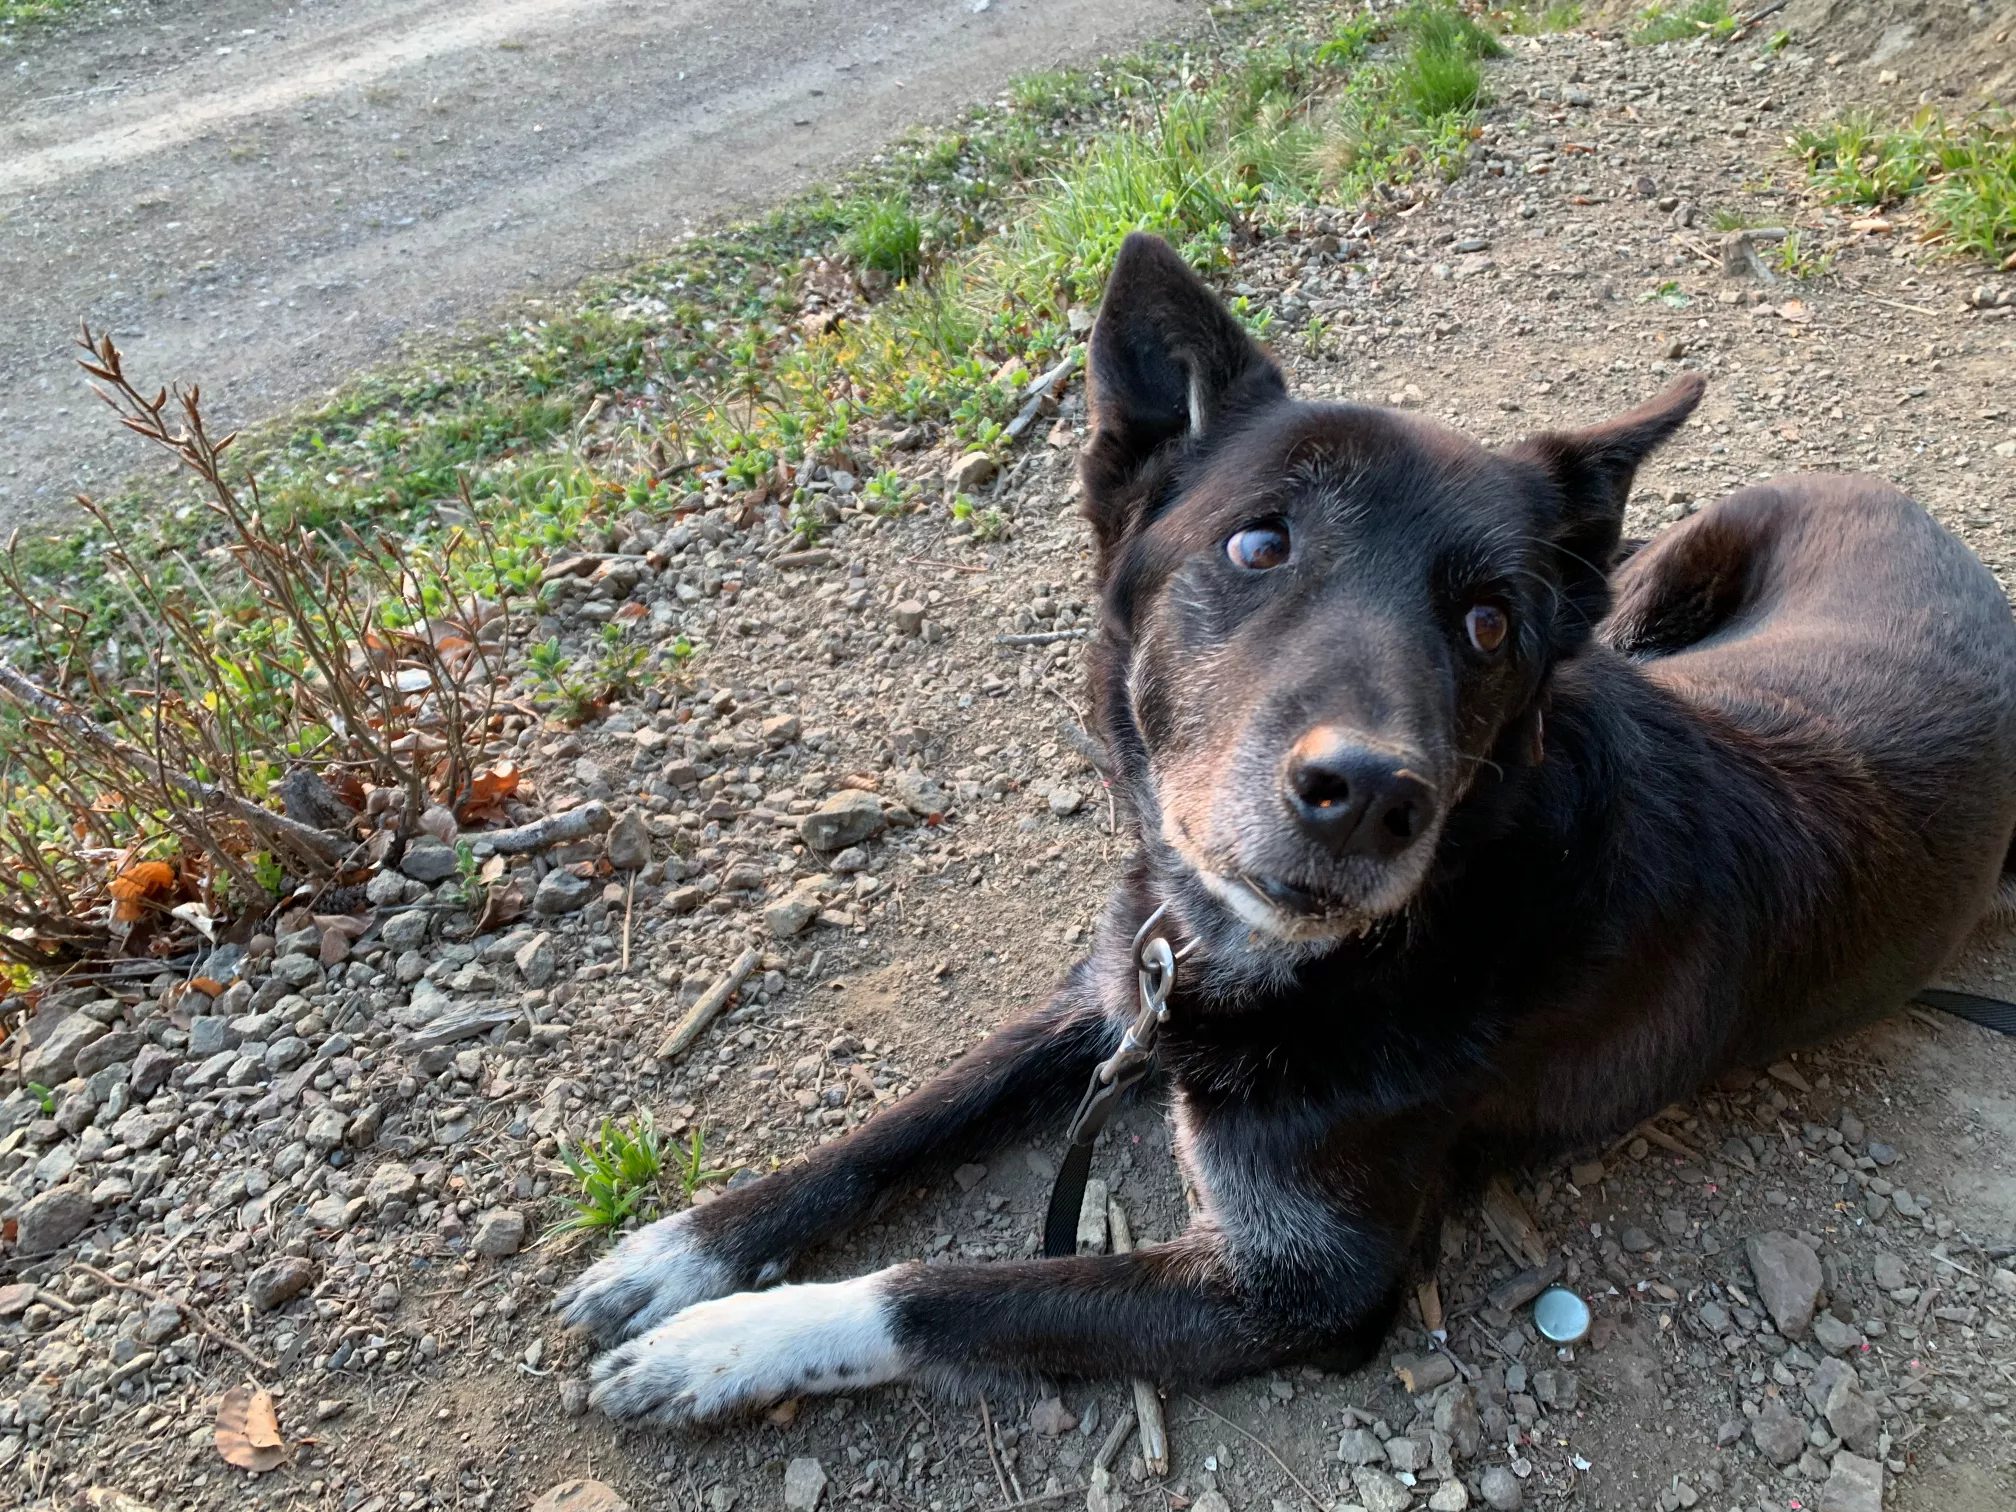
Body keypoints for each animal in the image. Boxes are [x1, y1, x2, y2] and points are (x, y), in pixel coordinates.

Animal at [552, 230, 2016, 1427]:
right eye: (1258, 546)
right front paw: (678, 1253)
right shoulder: (1117, 987)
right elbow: (912, 1115)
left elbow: (951, 1288)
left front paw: (723, 1346)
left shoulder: (1298, 1285)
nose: (1367, 795)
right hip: (1668, 577)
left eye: (1491, 623)